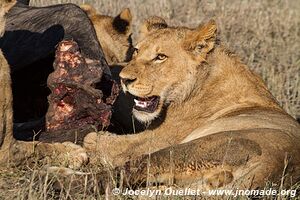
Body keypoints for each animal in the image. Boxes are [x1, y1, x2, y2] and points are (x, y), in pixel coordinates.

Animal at [83, 17, 300, 189]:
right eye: (136, 51)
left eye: (160, 57)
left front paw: (94, 140)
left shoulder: (157, 138)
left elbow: (107, 144)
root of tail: (274, 167)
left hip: (188, 150)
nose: (124, 79)